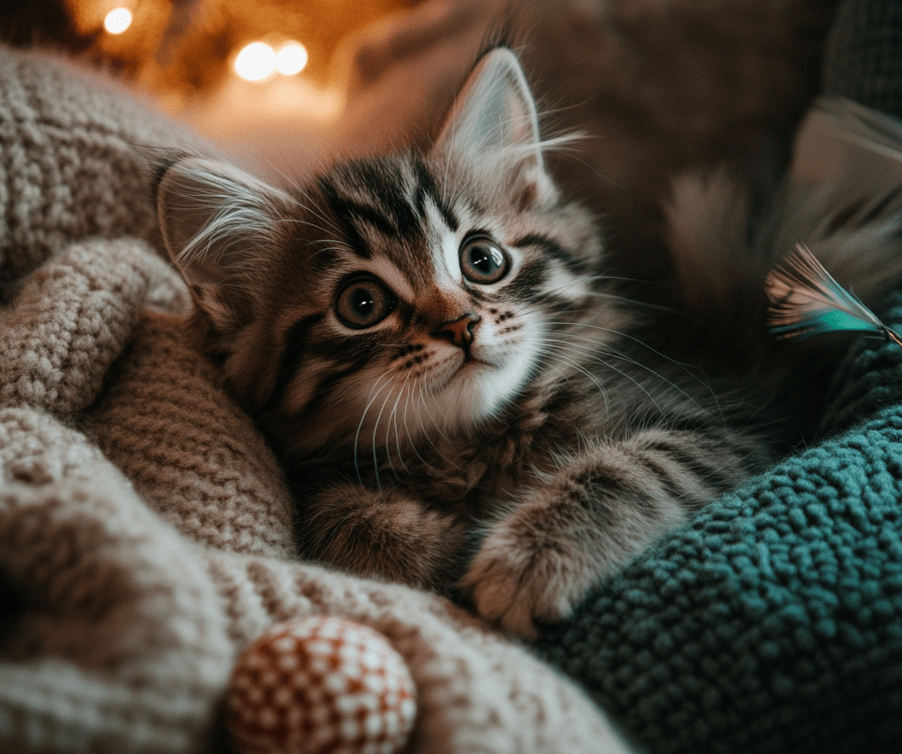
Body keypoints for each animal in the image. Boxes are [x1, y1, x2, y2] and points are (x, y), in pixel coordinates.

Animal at [154, 48, 902, 636]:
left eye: (482, 260)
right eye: (361, 304)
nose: (460, 324)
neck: (477, 445)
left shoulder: (729, 420)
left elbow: (623, 469)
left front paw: (529, 562)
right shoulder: (324, 480)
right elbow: (339, 512)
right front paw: (444, 550)